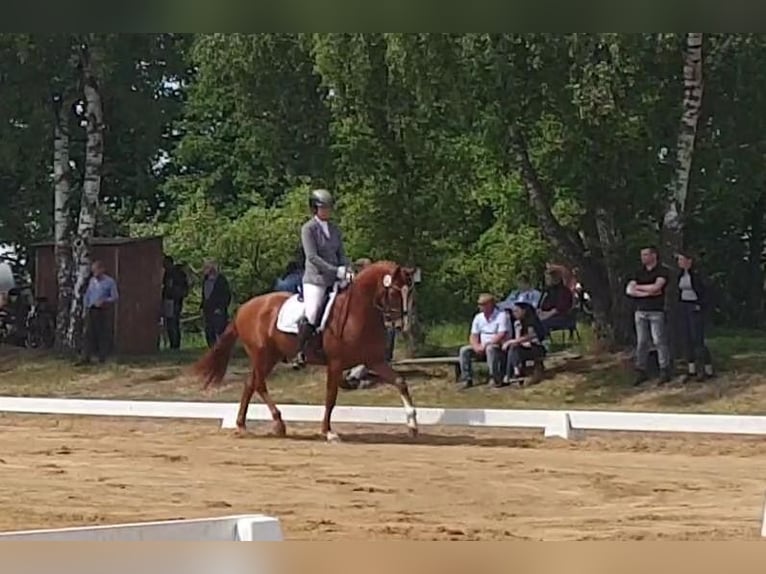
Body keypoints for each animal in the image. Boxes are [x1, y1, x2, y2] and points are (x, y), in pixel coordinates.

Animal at [192, 262, 420, 446]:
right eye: (394, 293)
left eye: (410, 293)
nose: (402, 326)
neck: (359, 312)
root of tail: (244, 308)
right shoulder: (335, 364)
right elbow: (331, 397)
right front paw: (328, 432)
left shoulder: (374, 361)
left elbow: (400, 382)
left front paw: (413, 425)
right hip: (262, 355)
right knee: (258, 384)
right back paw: (275, 423)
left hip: (270, 357)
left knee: (251, 383)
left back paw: (245, 425)